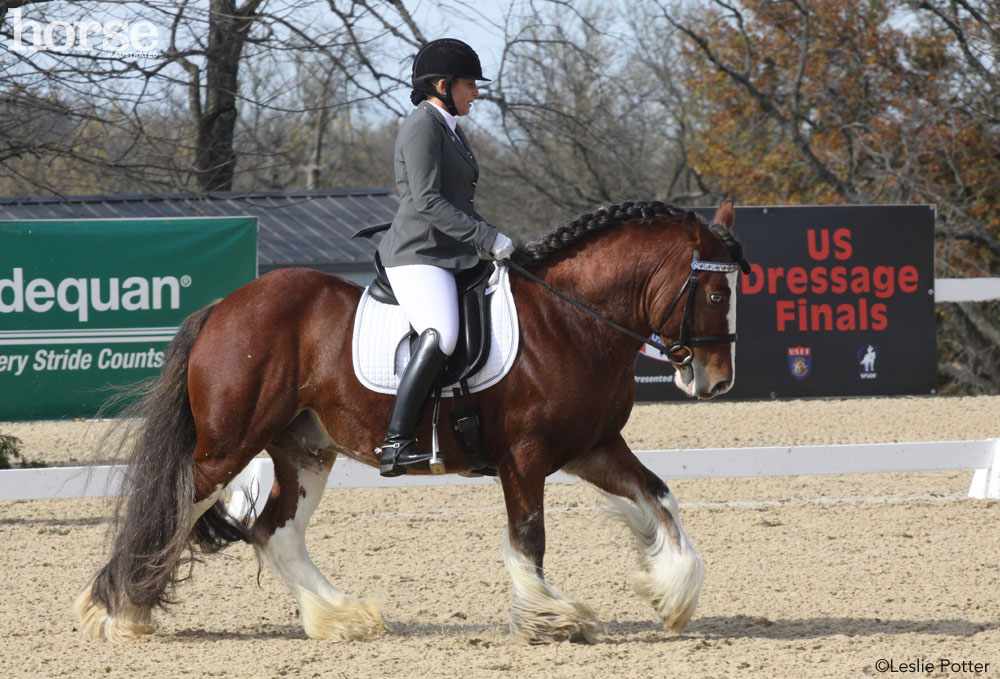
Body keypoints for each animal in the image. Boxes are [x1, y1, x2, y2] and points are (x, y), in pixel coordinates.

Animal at [76, 201, 744, 644]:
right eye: (716, 295)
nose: (715, 383)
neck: (572, 320)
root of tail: (225, 306)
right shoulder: (524, 458)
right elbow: (529, 537)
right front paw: (550, 618)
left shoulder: (593, 447)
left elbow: (658, 495)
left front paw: (673, 592)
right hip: (229, 445)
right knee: (175, 505)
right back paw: (117, 611)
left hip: (305, 449)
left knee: (276, 531)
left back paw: (342, 616)